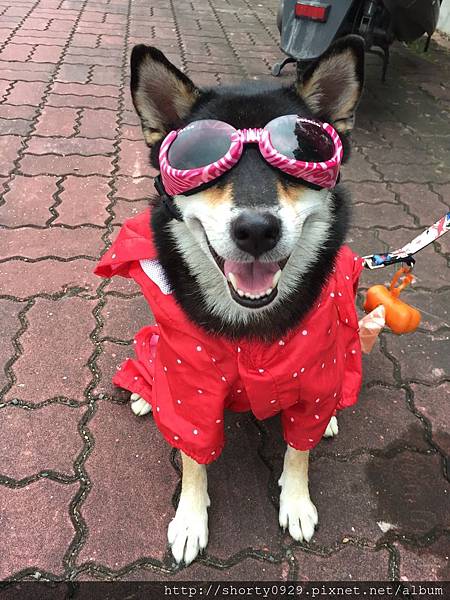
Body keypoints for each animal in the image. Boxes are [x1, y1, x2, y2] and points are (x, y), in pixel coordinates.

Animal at [96, 35, 366, 564]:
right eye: (197, 156)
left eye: (306, 152)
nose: (257, 230)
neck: (247, 329)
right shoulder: (190, 385)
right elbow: (193, 454)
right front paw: (189, 520)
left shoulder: (314, 370)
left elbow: (299, 449)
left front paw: (296, 502)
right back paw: (142, 395)